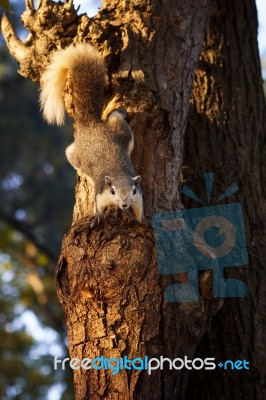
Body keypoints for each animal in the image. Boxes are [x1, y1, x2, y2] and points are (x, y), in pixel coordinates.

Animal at [39, 45, 143, 225]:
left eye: (134, 190)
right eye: (112, 191)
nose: (124, 205)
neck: (119, 173)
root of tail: (91, 125)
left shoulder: (139, 197)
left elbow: (139, 208)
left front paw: (140, 220)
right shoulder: (100, 193)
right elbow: (98, 205)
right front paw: (97, 216)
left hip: (122, 132)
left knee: (116, 118)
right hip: (76, 155)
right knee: (71, 154)